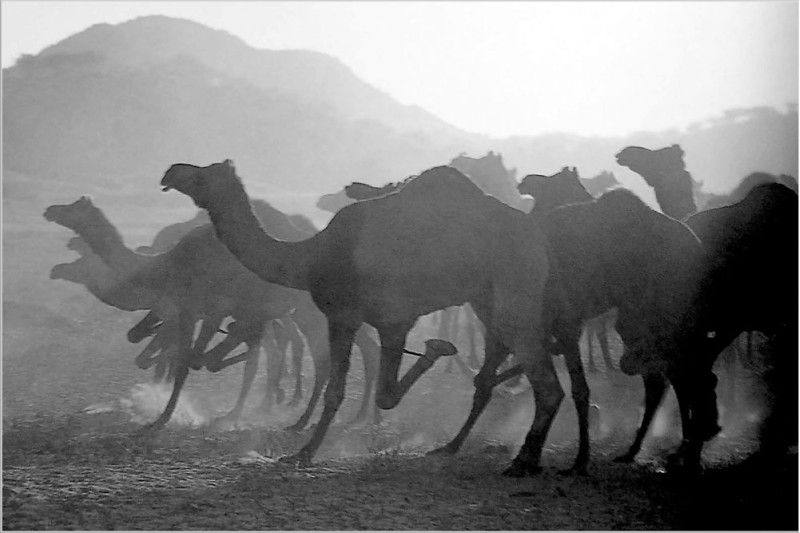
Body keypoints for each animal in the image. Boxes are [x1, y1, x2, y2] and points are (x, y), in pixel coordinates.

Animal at [162, 160, 558, 476]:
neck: (310, 256)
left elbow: (342, 391)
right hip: (485, 298)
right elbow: (385, 394)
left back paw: (522, 461)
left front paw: (302, 453)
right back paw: (455, 447)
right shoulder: (393, 320)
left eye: (202, 175)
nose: (171, 171)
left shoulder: (351, 315)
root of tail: (536, 234)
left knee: (545, 380)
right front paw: (437, 348)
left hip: (514, 286)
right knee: (501, 365)